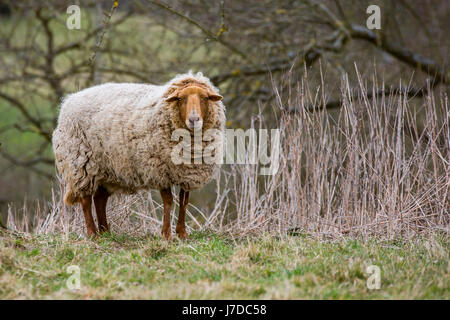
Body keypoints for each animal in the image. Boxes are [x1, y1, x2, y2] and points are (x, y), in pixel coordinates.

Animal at [52, 71, 225, 239]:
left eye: (205, 98)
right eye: (181, 99)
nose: (194, 119)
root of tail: (70, 100)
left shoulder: (187, 173)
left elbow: (184, 202)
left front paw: (182, 234)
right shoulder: (160, 170)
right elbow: (168, 201)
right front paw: (167, 234)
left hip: (106, 168)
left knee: (99, 199)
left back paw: (105, 232)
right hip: (80, 163)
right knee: (86, 200)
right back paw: (92, 233)